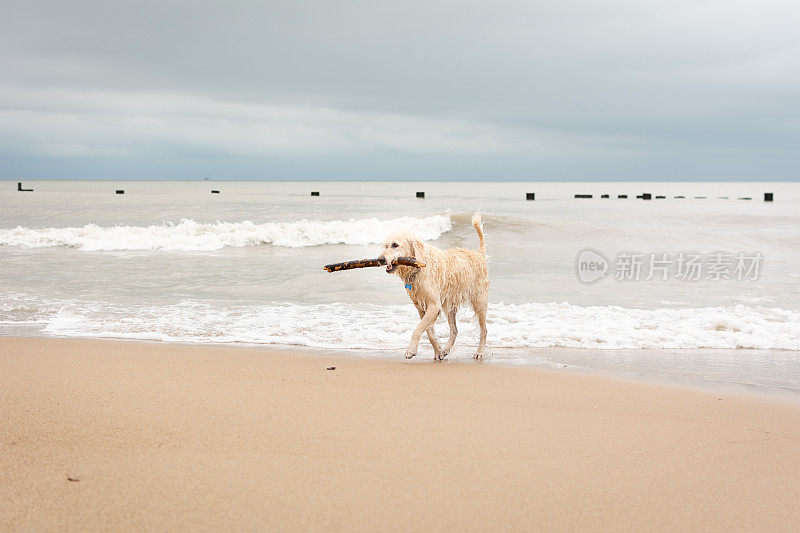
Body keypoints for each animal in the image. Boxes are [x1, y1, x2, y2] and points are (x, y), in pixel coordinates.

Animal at [380, 210, 490, 360]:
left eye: (395, 245)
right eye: (385, 246)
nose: (380, 259)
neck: (418, 268)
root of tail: (478, 254)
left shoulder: (434, 305)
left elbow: (418, 329)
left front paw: (411, 350)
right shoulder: (421, 307)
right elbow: (430, 333)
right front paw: (438, 351)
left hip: (479, 302)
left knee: (484, 330)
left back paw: (479, 352)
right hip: (450, 305)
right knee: (455, 330)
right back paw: (446, 349)